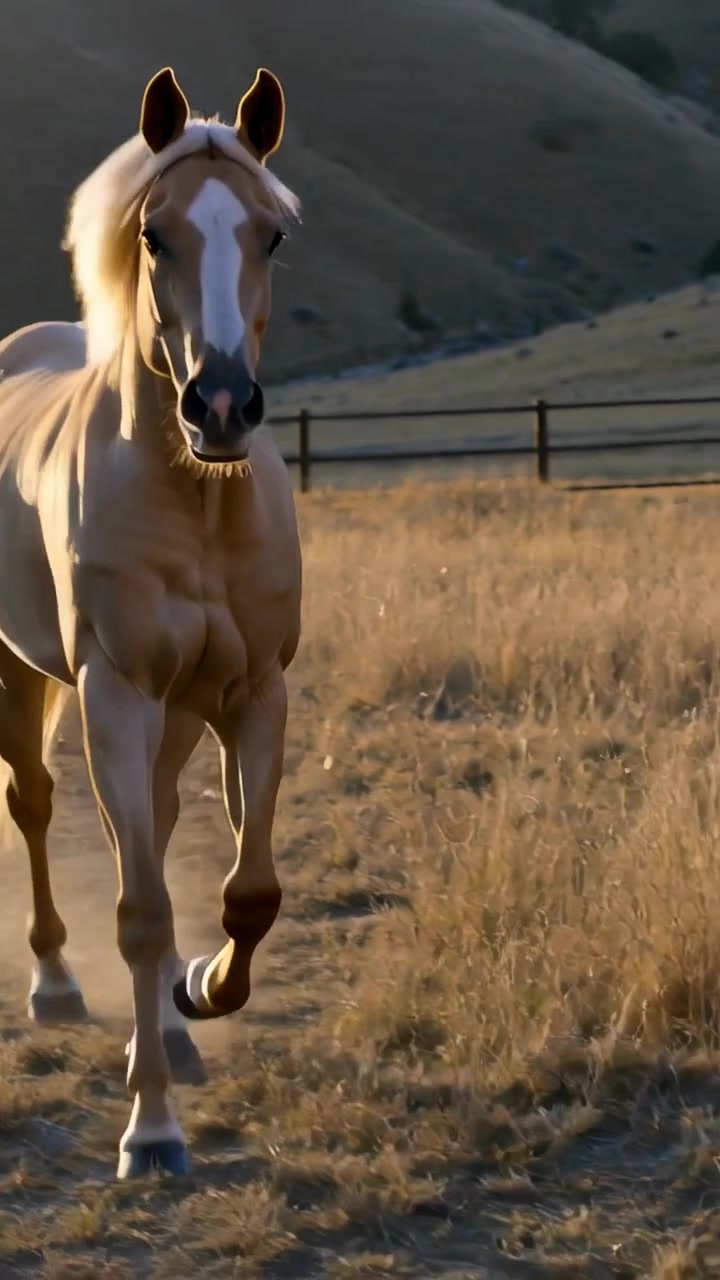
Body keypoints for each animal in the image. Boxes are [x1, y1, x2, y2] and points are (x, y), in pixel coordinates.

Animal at [0, 65, 302, 1178]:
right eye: (155, 234)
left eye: (270, 235)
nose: (219, 405)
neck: (198, 500)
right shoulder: (116, 696)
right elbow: (137, 910)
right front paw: (153, 1129)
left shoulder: (253, 691)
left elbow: (246, 891)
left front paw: (202, 988)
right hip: (30, 680)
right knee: (36, 803)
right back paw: (54, 984)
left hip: (172, 713)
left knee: (160, 834)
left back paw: (170, 1028)